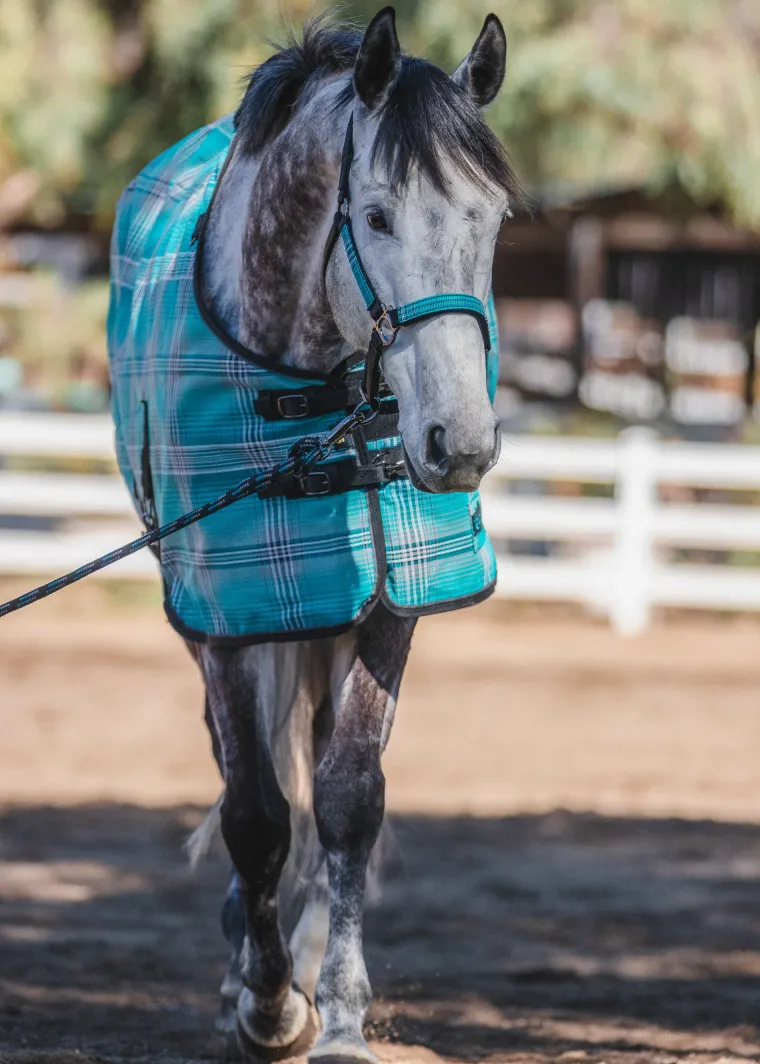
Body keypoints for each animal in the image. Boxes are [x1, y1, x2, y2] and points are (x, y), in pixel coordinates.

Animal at [107, 7, 517, 1061]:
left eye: (493, 220)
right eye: (375, 217)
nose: (458, 443)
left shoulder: (386, 605)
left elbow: (347, 796)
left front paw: (336, 1010)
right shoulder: (222, 615)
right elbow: (254, 812)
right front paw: (268, 1005)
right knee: (238, 772)